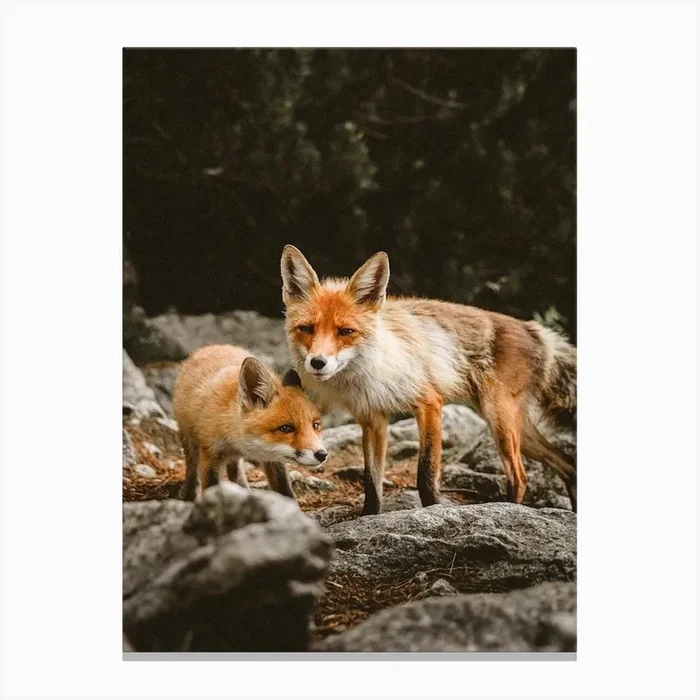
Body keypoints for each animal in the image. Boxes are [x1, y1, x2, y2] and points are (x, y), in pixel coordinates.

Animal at [173, 344, 328, 502]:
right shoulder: (211, 454)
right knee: (192, 468)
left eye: (315, 425)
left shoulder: (274, 459)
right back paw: (190, 493)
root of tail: (211, 347)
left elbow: (285, 490)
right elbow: (211, 488)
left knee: (235, 469)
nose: (322, 455)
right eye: (286, 428)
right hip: (189, 440)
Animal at [280, 245, 577, 515]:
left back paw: (506, 509)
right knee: (568, 463)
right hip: (516, 428)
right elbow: (371, 481)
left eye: (345, 331)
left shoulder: (430, 403)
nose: (317, 362)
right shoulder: (373, 418)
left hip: (499, 420)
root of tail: (532, 328)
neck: (370, 370)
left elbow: (425, 474)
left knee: (520, 477)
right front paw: (369, 517)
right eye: (307, 329)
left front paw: (434, 510)